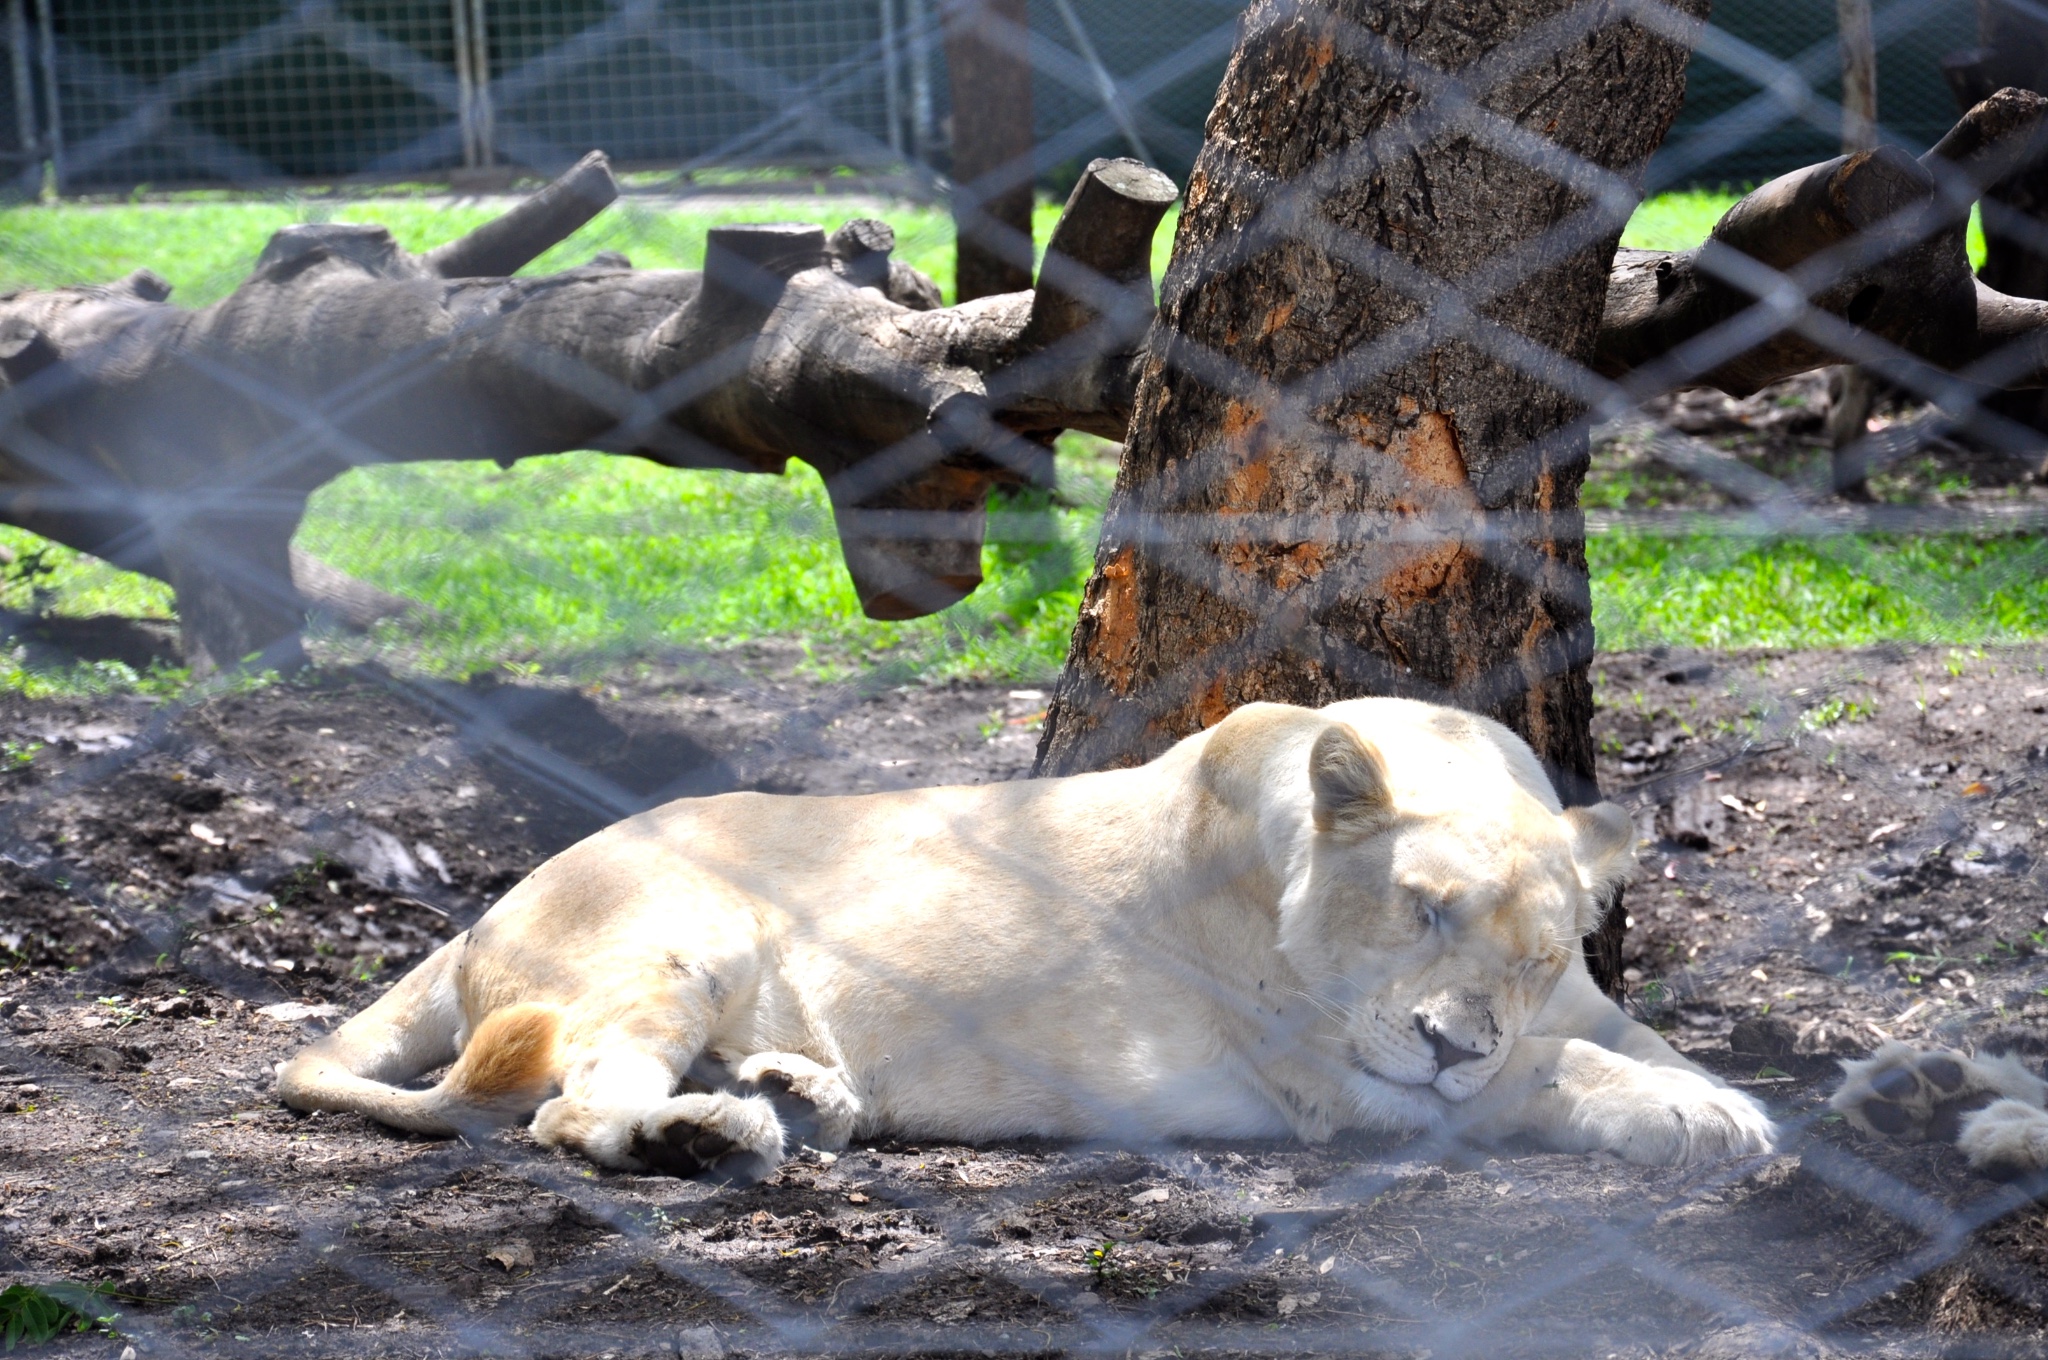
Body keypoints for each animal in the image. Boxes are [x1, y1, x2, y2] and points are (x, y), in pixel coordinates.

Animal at [276, 696, 1777, 1171]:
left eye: (1535, 954)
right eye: (1420, 911)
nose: (1452, 1040)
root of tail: (485, 909)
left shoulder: (1570, 1004)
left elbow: (1616, 1041)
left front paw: (1720, 1093)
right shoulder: (1338, 1083)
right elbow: (1545, 1078)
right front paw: (1696, 1118)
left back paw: (799, 1091)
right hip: (676, 934)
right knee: (569, 1110)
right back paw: (711, 1135)